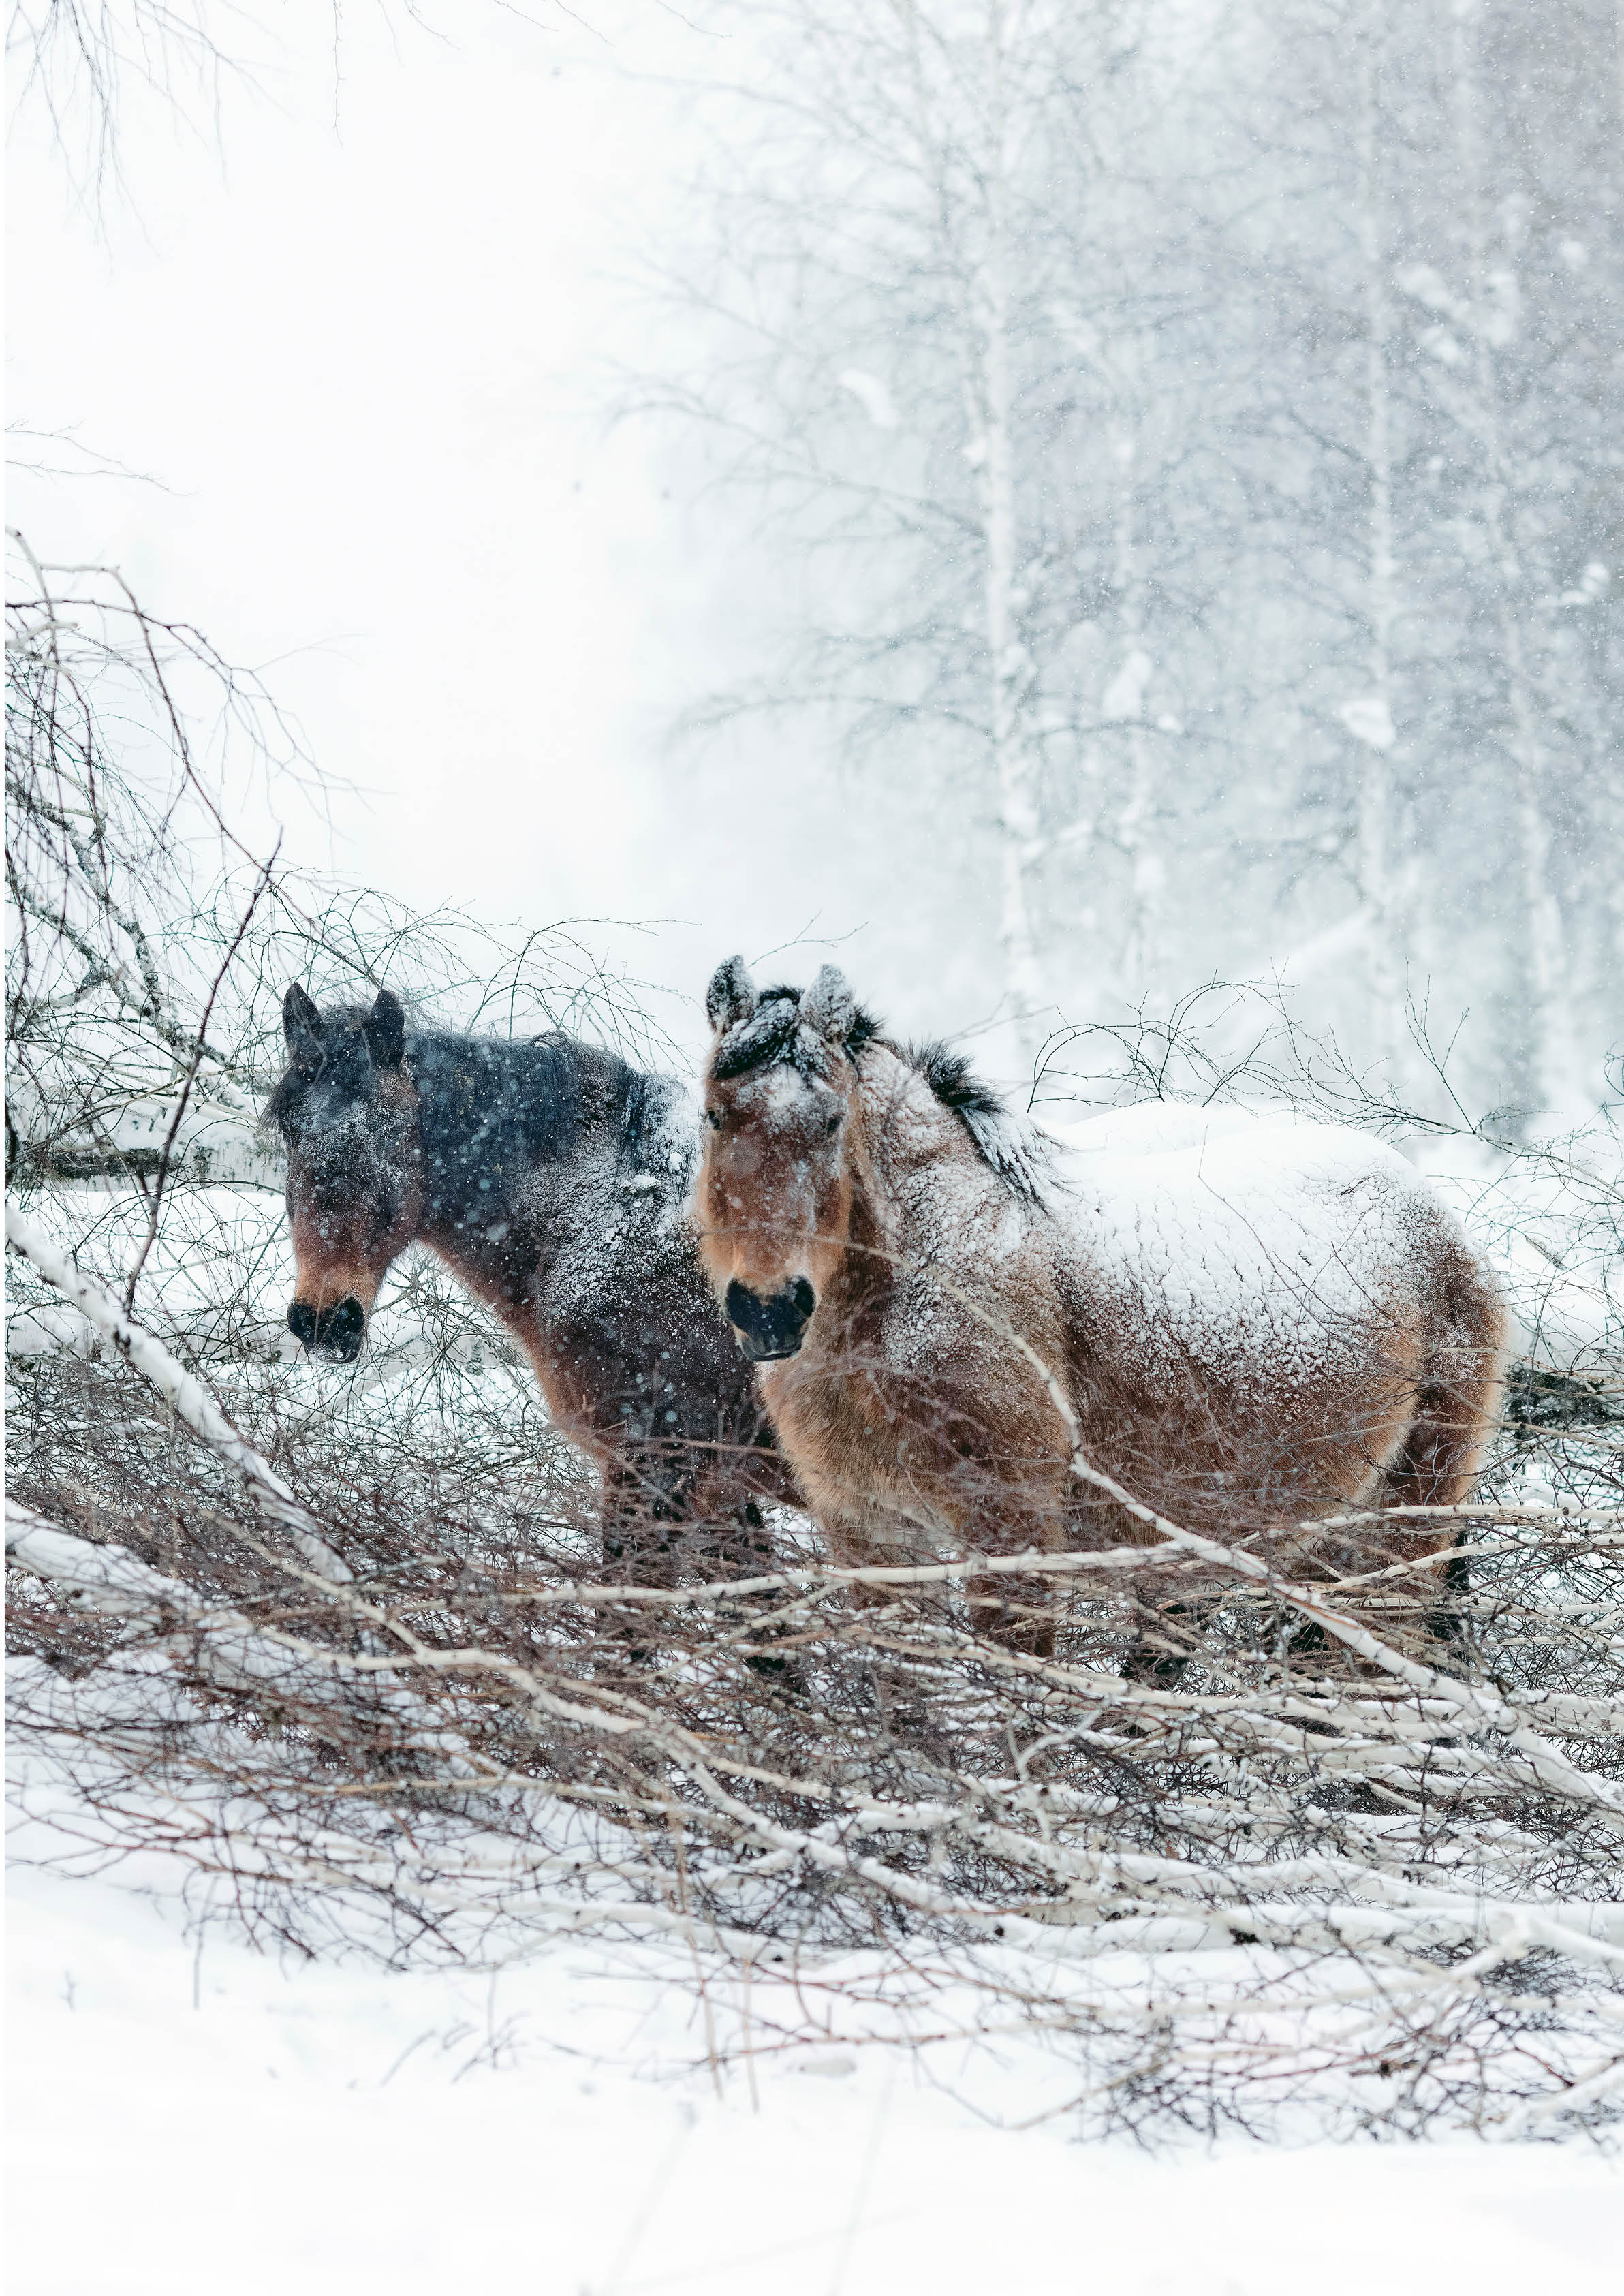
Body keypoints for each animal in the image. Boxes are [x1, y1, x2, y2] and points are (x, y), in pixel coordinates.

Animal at [266, 983, 797, 1591]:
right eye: (289, 1130)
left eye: (388, 1129)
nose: (323, 1319)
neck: (603, 1216)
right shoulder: (719, 1485)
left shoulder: (658, 1462)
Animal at [694, 957, 1508, 1664]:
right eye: (712, 1116)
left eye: (833, 1122)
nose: (770, 1310)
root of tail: (1441, 1222)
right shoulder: (867, 1531)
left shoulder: (1011, 1527)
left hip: (1396, 1536)